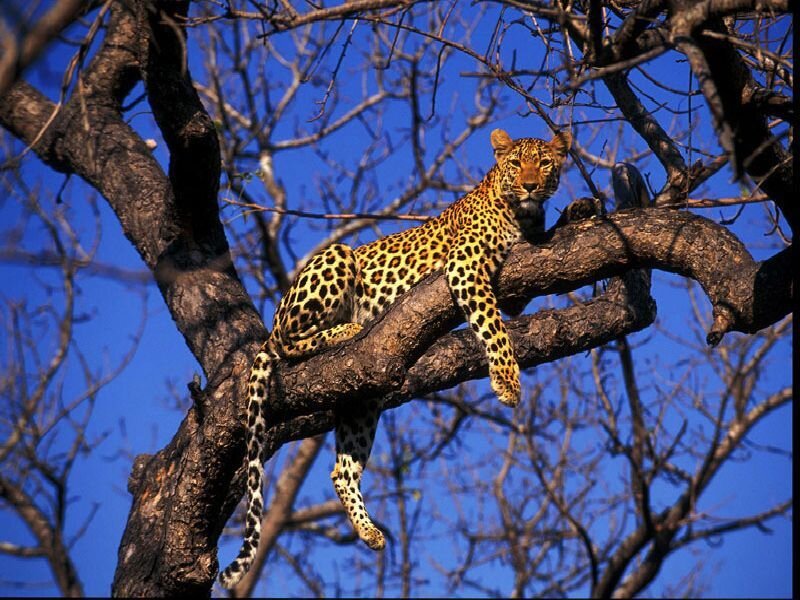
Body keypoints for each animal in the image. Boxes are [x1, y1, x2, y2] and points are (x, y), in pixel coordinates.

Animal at [219, 128, 577, 588]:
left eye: (545, 163)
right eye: (516, 164)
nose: (531, 185)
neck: (522, 214)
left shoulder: (515, 288)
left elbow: (511, 305)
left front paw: (584, 207)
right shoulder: (465, 266)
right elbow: (493, 327)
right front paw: (507, 382)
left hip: (363, 395)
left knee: (342, 470)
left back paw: (370, 532)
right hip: (336, 260)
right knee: (285, 341)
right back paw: (346, 329)